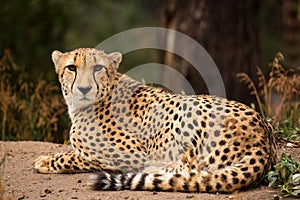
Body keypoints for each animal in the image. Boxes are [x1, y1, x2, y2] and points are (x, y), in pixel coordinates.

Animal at [34, 47, 278, 193]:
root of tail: (264, 134)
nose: (84, 89)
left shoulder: (129, 154)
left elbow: (77, 156)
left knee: (189, 171)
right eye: (71, 68)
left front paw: (44, 161)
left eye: (98, 68)